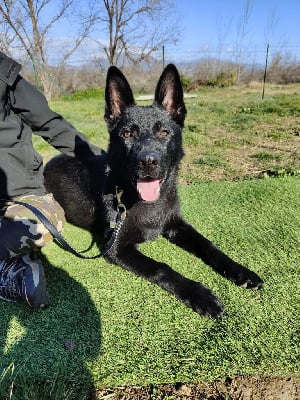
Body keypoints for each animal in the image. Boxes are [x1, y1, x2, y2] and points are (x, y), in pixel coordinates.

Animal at [44, 64, 262, 318]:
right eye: (127, 134)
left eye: (164, 133)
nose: (148, 161)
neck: (142, 202)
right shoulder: (116, 248)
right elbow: (161, 267)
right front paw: (200, 294)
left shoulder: (176, 224)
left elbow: (208, 245)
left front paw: (241, 271)